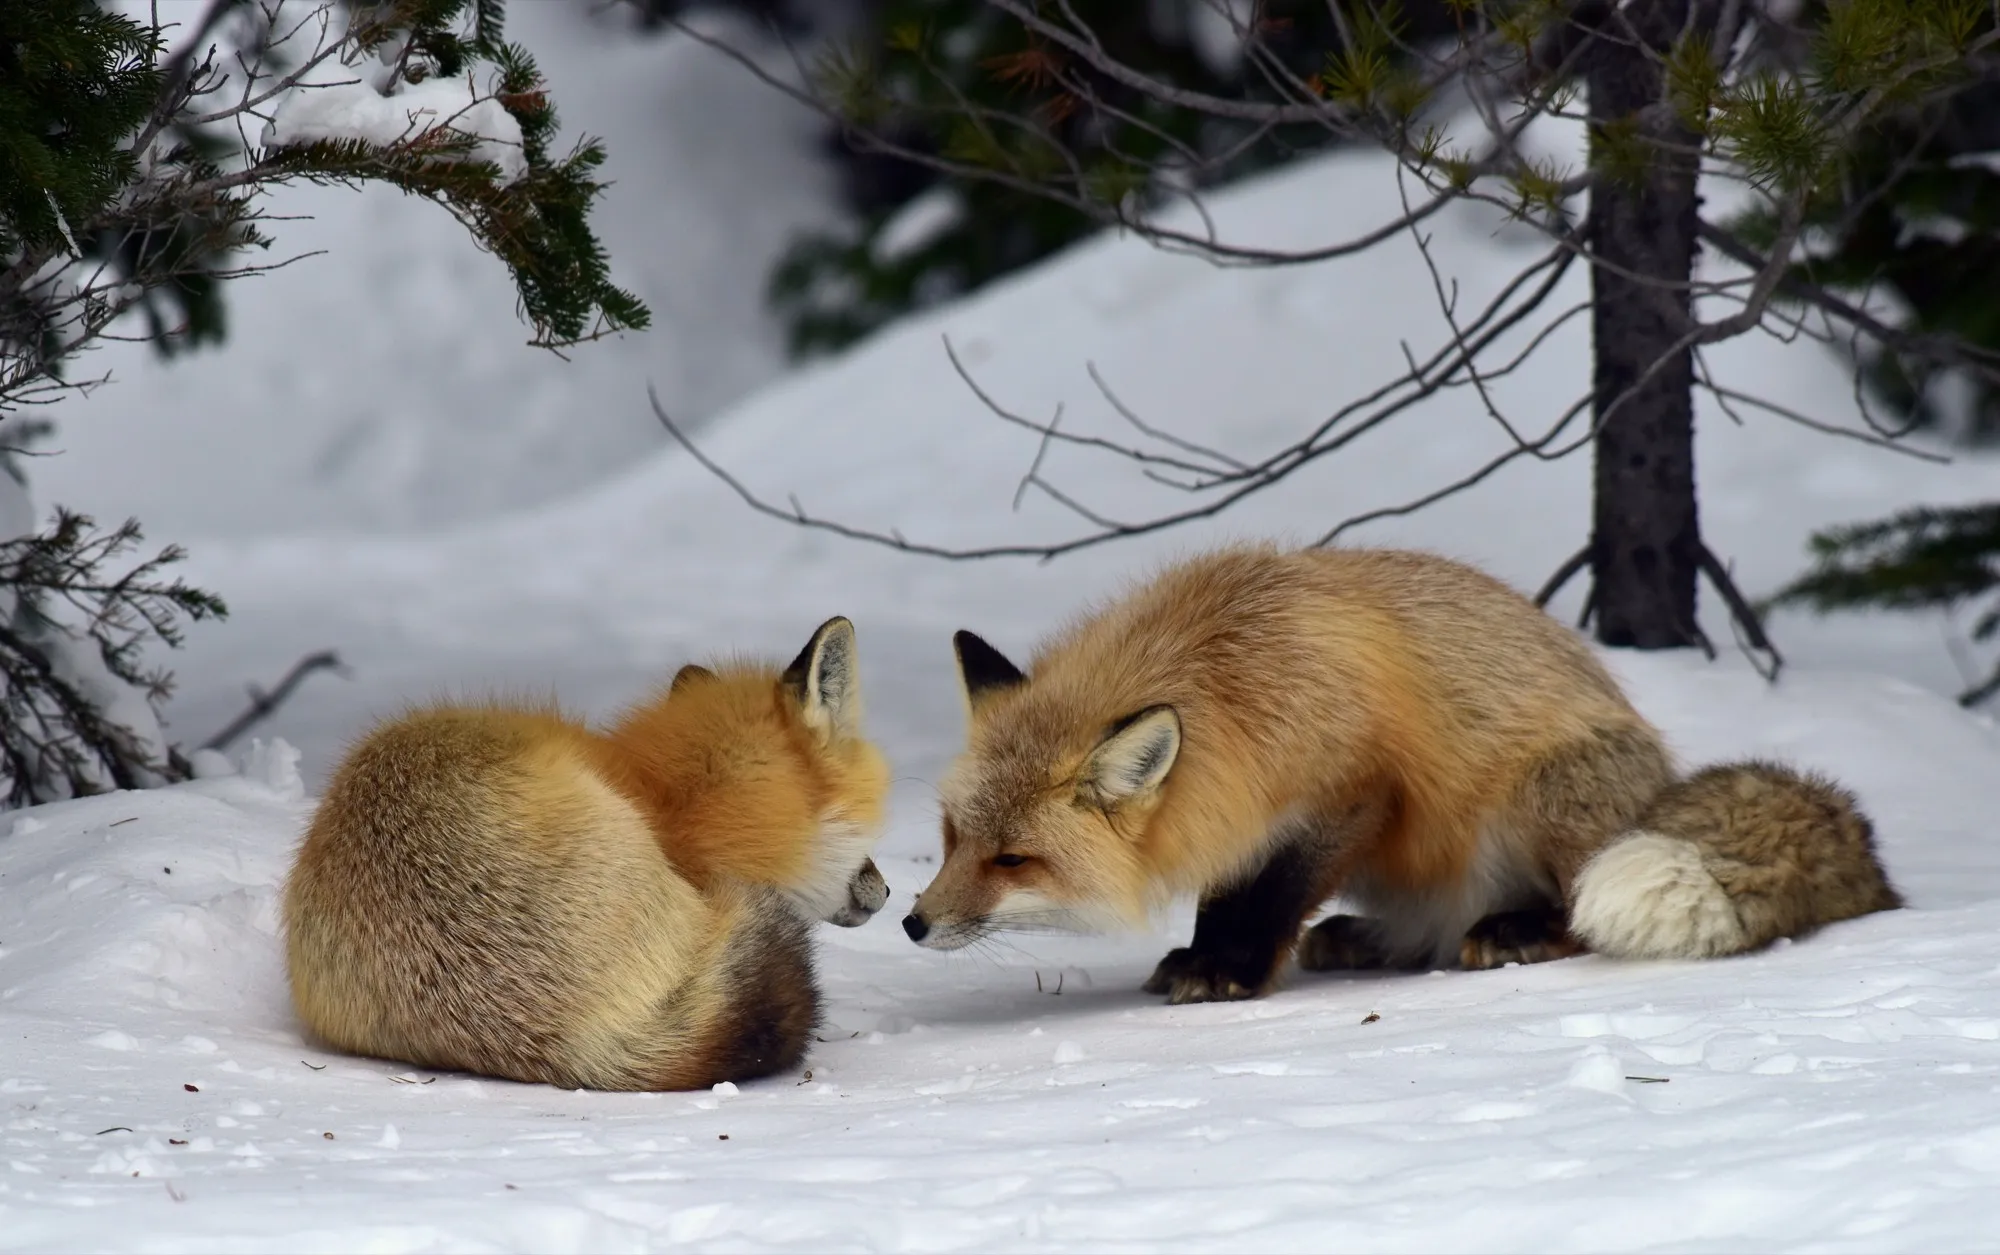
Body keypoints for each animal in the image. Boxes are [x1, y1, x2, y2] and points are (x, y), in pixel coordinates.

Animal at [902, 545, 1903, 1004]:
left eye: (1014, 860)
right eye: (953, 838)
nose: (912, 923)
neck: (1238, 672)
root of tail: (1659, 783)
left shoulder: (1352, 793)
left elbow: (1263, 894)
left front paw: (1225, 968)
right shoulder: (1238, 807)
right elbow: (1234, 886)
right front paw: (1211, 955)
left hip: (1540, 798)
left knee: (1571, 909)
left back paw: (1519, 931)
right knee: (1419, 934)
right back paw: (1369, 941)